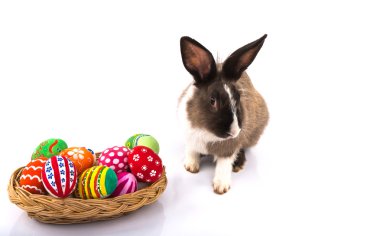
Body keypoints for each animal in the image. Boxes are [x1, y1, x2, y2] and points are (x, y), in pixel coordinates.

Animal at [179, 34, 270, 194]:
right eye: (212, 101)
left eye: (238, 98)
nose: (234, 132)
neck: (206, 131)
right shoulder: (189, 137)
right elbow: (191, 151)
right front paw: (190, 166)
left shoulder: (229, 147)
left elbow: (224, 164)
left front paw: (221, 187)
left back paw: (238, 164)